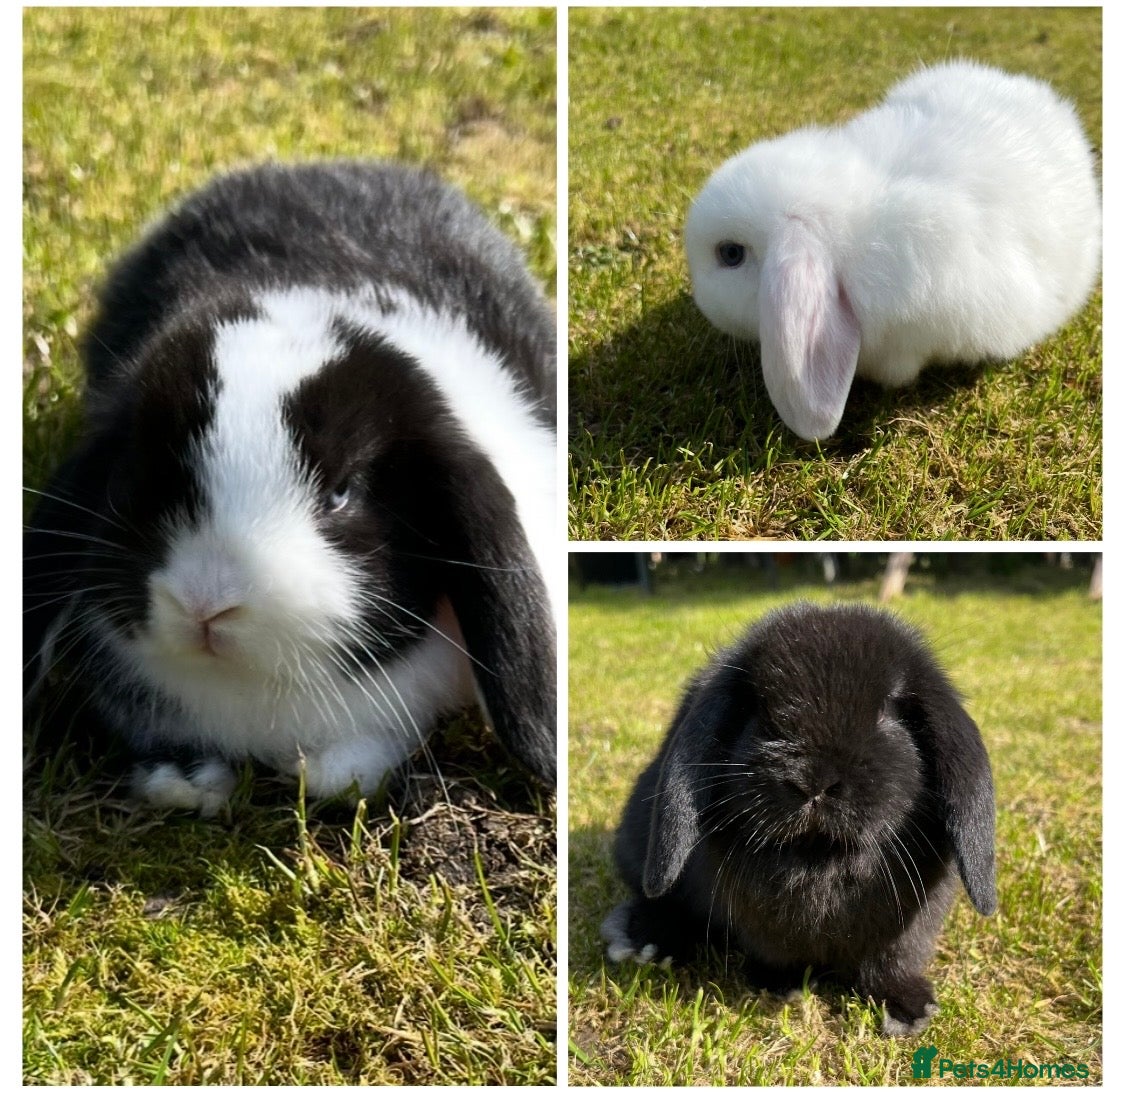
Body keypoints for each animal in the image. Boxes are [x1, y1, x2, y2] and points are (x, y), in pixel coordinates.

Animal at [23, 160, 558, 816]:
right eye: (144, 471)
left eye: (343, 492)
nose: (205, 601)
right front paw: (185, 780)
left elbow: (342, 772)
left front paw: (322, 768)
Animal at [600, 602, 997, 1036]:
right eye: (760, 708)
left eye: (888, 709)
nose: (812, 782)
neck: (818, 858)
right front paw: (782, 986)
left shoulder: (907, 930)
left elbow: (889, 963)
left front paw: (909, 1012)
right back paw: (641, 942)